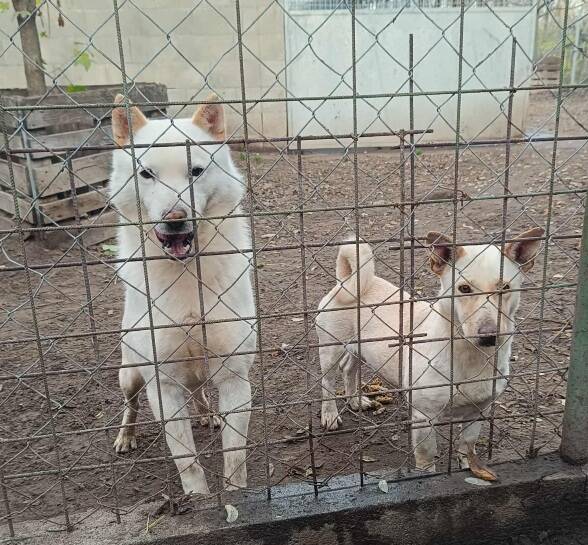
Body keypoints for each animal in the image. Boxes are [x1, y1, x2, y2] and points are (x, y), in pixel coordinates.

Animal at [109, 93, 256, 495]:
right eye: (146, 173)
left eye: (196, 171)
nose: (174, 219)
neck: (188, 276)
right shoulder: (163, 386)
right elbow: (186, 459)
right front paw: (198, 498)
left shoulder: (235, 376)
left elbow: (235, 454)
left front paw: (237, 495)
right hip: (129, 373)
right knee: (130, 404)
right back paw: (126, 436)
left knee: (199, 393)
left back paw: (207, 415)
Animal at [315, 228, 543, 479]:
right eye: (464, 289)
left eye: (505, 288)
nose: (489, 336)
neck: (470, 356)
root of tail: (347, 281)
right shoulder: (424, 417)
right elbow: (426, 454)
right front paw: (426, 475)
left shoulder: (478, 411)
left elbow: (468, 444)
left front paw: (469, 466)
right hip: (330, 349)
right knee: (327, 382)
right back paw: (329, 415)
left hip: (360, 349)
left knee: (349, 368)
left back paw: (355, 400)